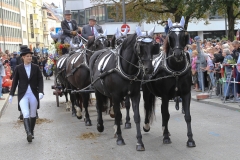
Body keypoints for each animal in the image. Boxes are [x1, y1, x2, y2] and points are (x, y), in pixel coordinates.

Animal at [142, 16, 195, 148]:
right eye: (170, 36)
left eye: (184, 35)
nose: (178, 54)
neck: (175, 70)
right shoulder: (165, 95)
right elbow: (165, 114)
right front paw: (165, 137)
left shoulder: (186, 94)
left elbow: (187, 116)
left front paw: (190, 139)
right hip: (146, 91)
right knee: (147, 106)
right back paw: (146, 126)